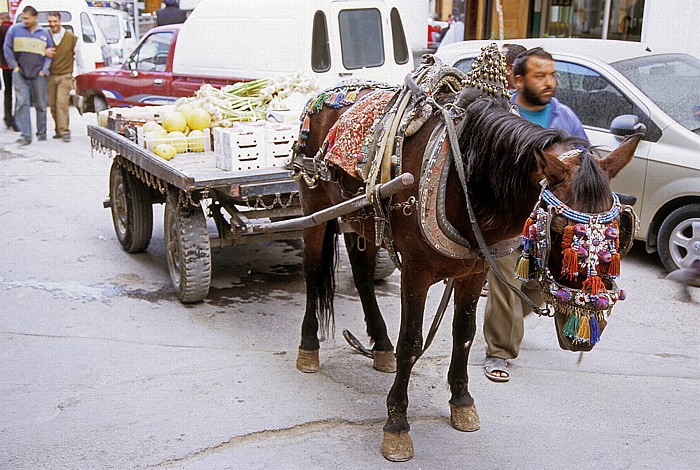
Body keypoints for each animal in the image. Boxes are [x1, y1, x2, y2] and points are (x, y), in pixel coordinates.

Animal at [292, 46, 644, 458]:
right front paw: (397, 424)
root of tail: (324, 95)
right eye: (558, 229)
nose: (584, 332)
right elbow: (411, 342)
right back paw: (309, 348)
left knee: (363, 275)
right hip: (313, 206)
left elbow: (464, 332)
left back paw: (379, 346)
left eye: (618, 233)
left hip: (358, 217)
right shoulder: (415, 273)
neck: (467, 177)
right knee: (313, 271)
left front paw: (461, 403)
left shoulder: (476, 272)